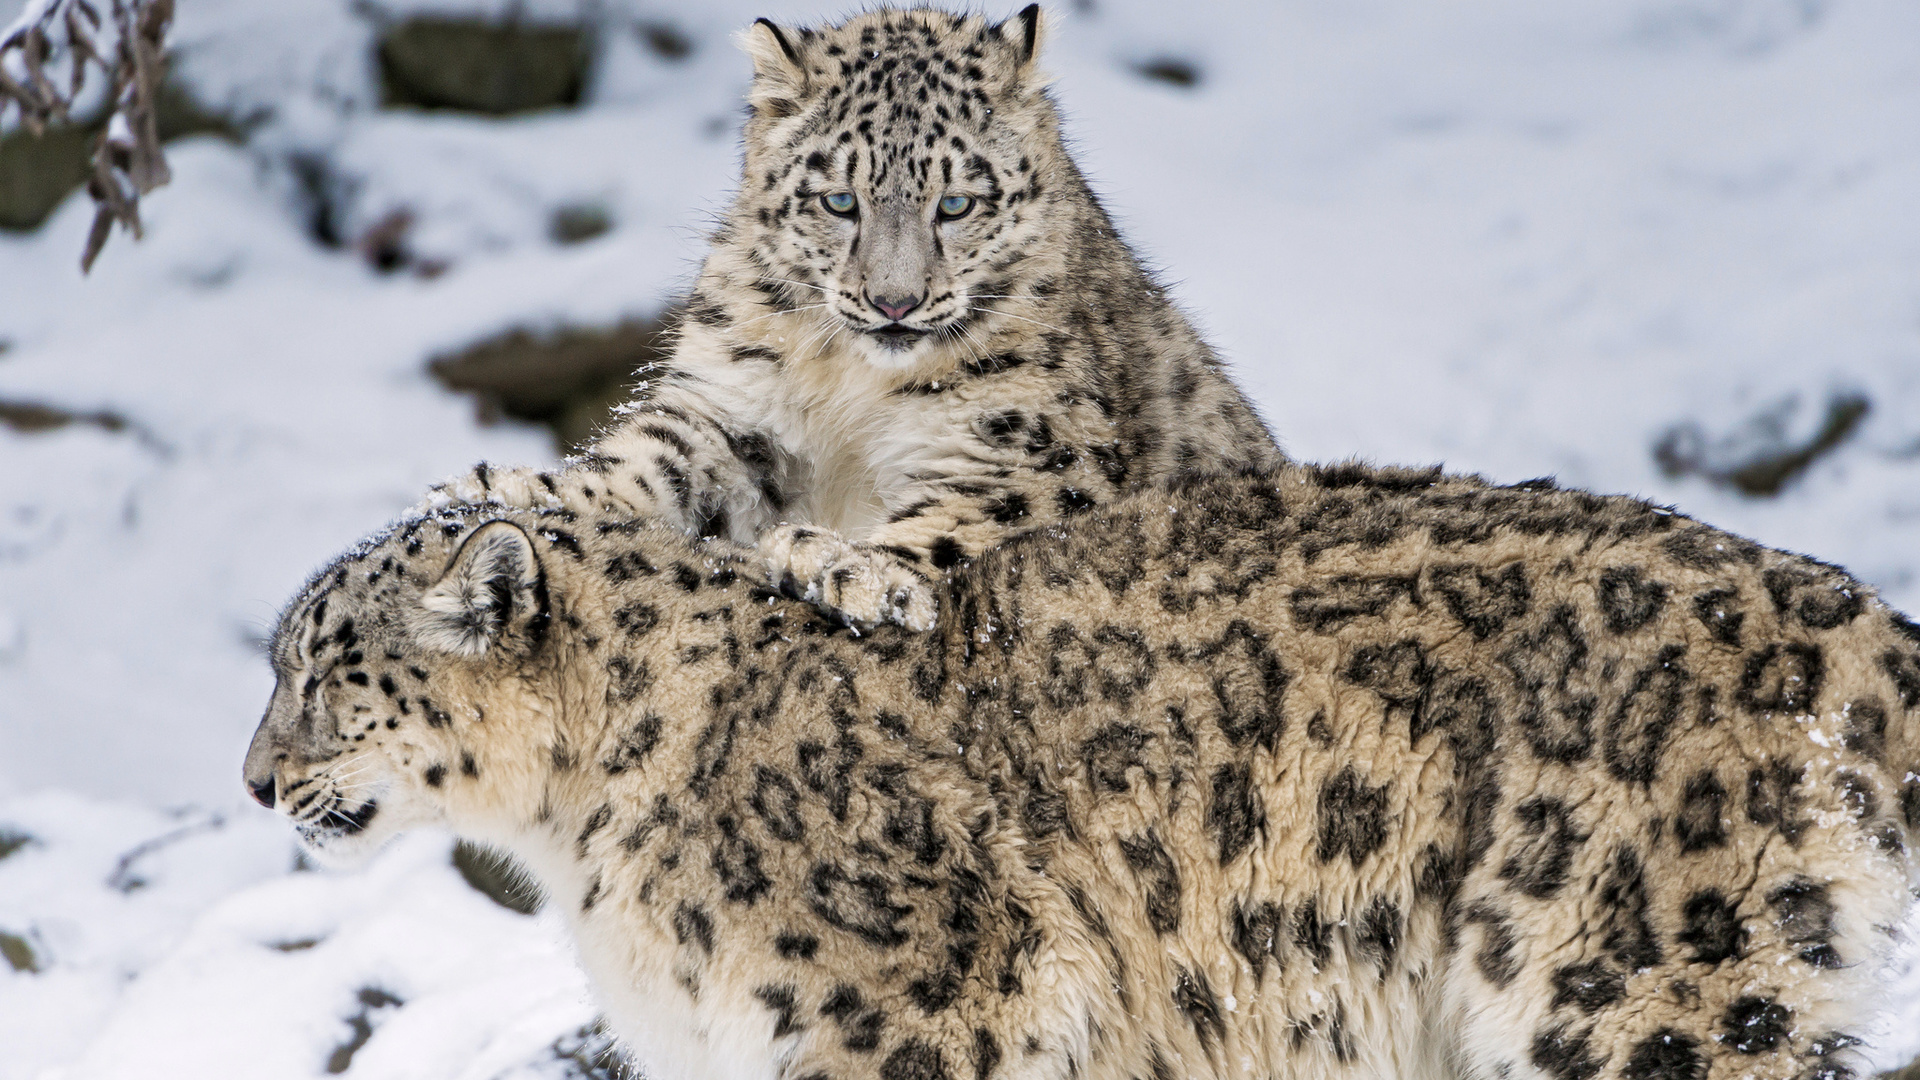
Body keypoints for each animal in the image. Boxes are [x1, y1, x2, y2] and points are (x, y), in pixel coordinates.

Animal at [428, 6, 1282, 630]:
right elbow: (648, 462)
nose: (893, 301)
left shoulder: (1039, 450)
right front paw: (510, 485)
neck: (851, 383)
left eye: (956, 203)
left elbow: (976, 514)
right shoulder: (733, 411)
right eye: (839, 200)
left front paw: (848, 565)